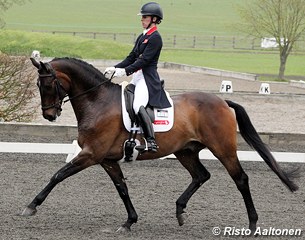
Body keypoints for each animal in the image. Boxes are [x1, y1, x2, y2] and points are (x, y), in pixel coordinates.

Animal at [22, 57, 298, 233]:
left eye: (48, 84)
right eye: (38, 85)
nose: (49, 115)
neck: (97, 102)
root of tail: (222, 101)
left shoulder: (91, 154)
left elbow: (58, 175)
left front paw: (31, 206)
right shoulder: (106, 159)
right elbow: (122, 188)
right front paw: (129, 221)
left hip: (223, 148)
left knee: (240, 179)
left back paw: (252, 224)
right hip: (186, 151)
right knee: (201, 175)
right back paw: (179, 211)